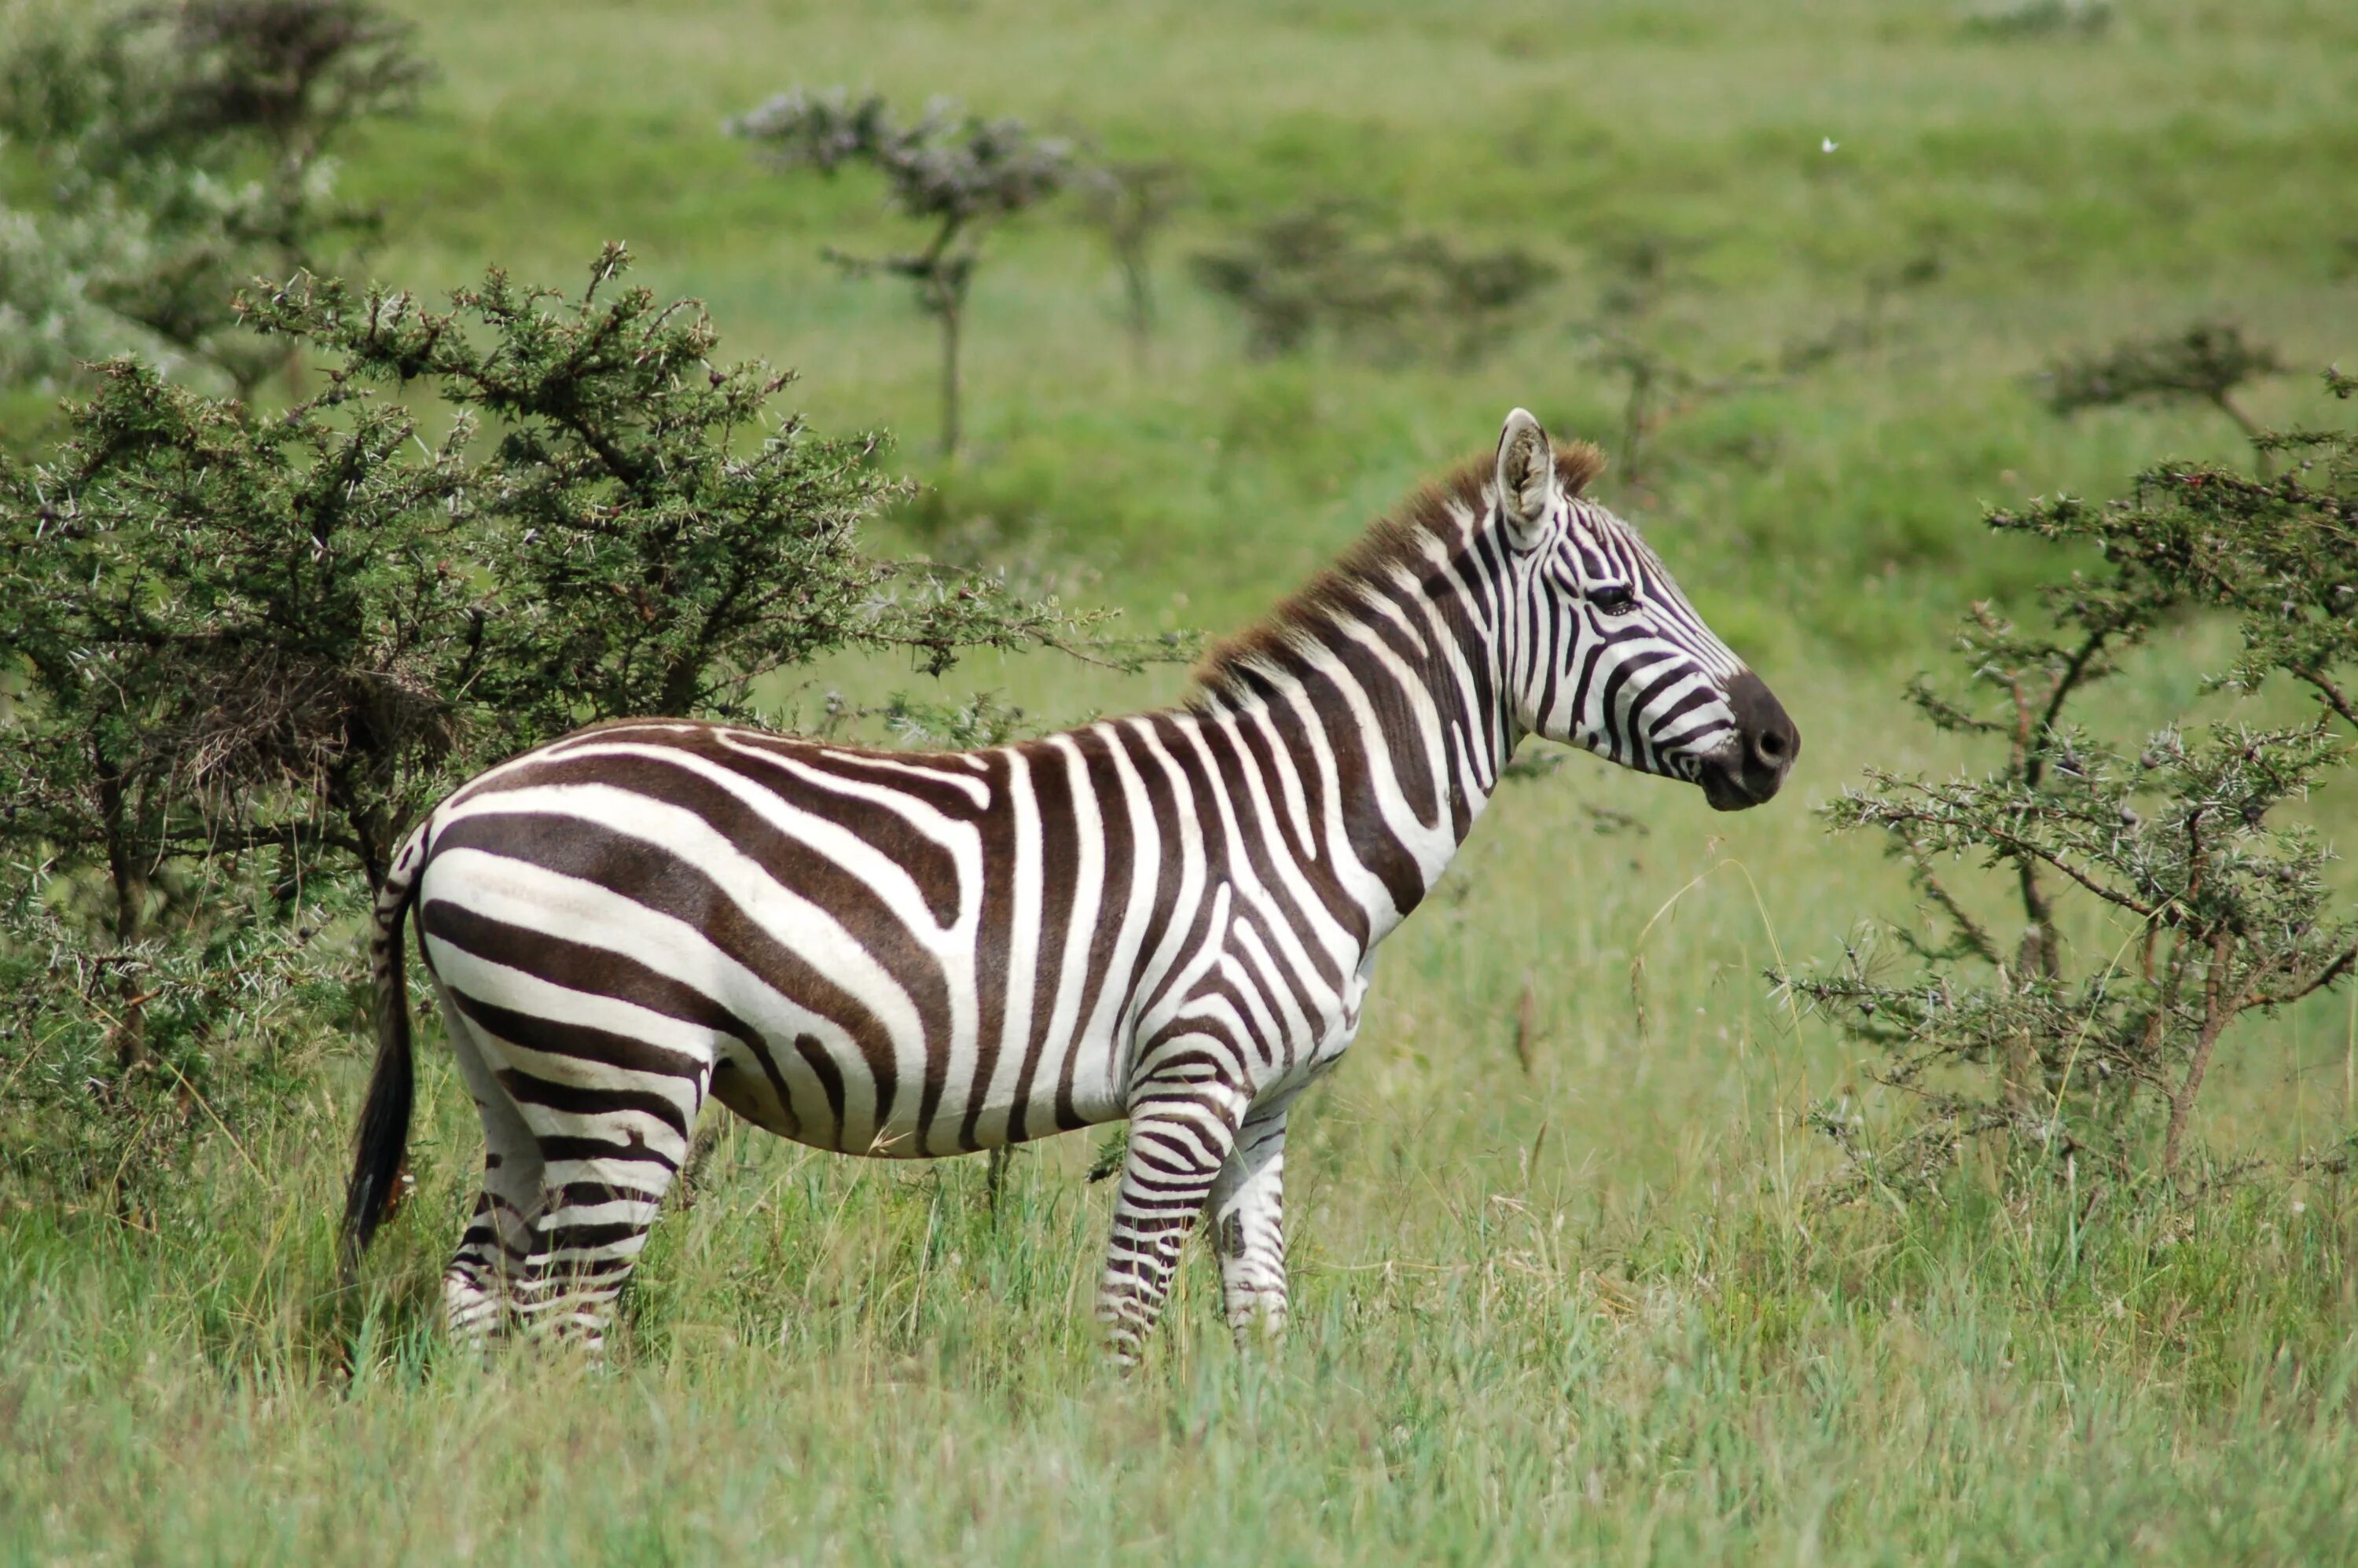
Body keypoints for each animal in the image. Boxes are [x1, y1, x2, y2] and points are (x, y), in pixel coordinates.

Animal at [342, 403, 1792, 1358]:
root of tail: (457, 807)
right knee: (568, 1310)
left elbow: (1259, 1309)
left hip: (520, 1075)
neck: (1306, 823)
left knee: (479, 1289)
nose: (1779, 742)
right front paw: (1127, 1466)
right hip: (624, 1066)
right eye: (1613, 601)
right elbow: (1130, 1307)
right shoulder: (1192, 1079)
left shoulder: (1265, 1107)